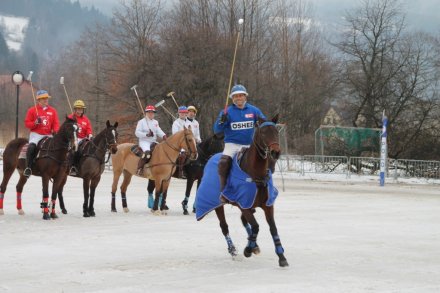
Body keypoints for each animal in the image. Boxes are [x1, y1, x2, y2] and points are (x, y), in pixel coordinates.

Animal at [194, 114, 288, 266]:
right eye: (263, 133)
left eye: (276, 131)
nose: (276, 152)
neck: (256, 174)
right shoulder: (243, 204)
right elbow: (256, 226)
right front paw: (247, 250)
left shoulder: (267, 205)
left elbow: (272, 227)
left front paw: (281, 256)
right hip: (218, 204)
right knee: (224, 226)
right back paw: (234, 250)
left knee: (243, 221)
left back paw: (253, 245)